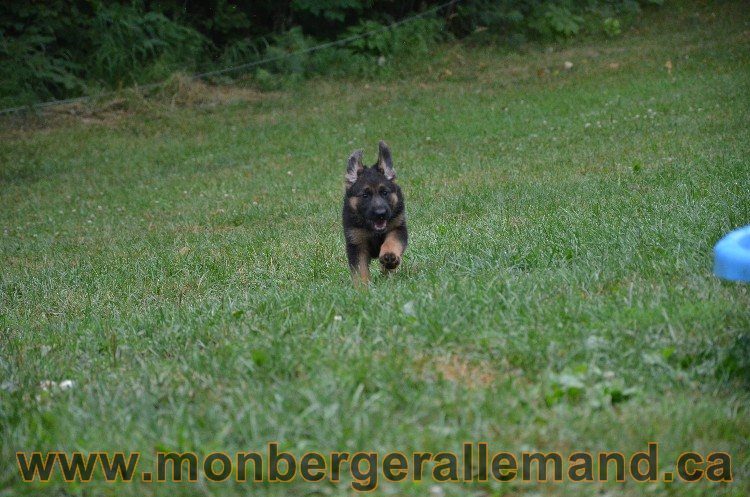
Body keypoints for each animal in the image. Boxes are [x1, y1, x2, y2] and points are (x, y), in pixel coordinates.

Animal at [344, 141, 408, 284]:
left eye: (384, 192)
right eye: (365, 195)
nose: (380, 213)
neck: (373, 230)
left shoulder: (397, 228)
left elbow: (392, 242)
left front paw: (389, 256)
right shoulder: (356, 243)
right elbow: (359, 269)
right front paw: (362, 287)